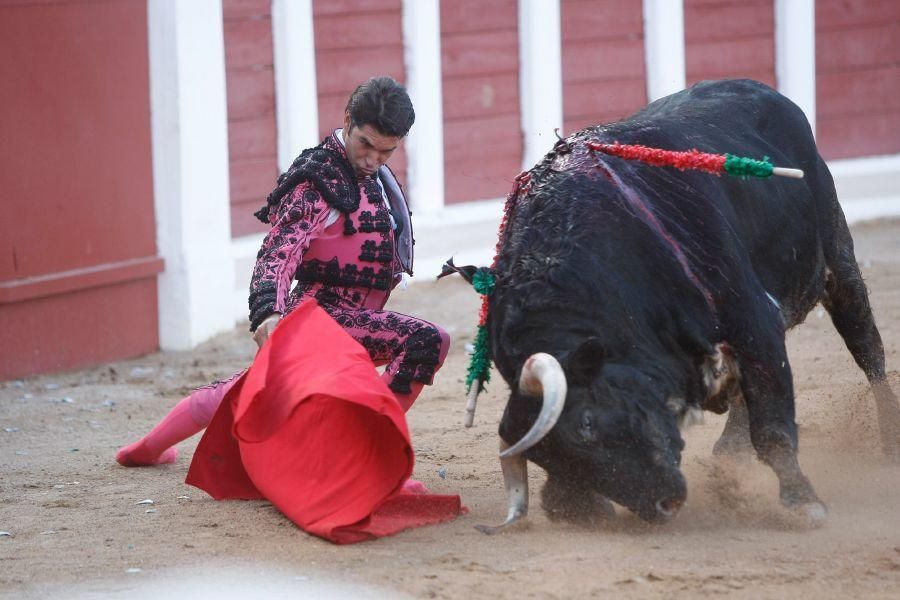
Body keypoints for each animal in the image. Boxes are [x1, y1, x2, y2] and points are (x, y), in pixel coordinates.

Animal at [472, 77, 900, 532]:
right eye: (544, 458)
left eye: (587, 423)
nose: (661, 505)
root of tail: (760, 89)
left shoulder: (753, 318)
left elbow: (773, 424)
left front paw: (804, 502)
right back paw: (728, 459)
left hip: (838, 263)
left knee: (868, 351)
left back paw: (889, 442)